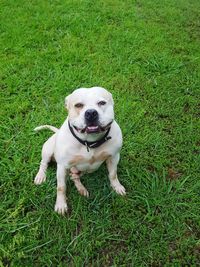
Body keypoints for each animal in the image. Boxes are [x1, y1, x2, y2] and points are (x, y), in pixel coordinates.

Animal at [34, 87, 125, 215]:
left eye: (102, 103)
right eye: (78, 105)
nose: (91, 113)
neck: (90, 142)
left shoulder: (114, 157)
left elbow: (113, 174)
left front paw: (117, 187)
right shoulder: (62, 166)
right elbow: (61, 187)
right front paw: (61, 204)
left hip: (81, 170)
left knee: (74, 177)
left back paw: (81, 189)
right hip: (48, 150)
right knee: (44, 163)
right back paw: (40, 176)